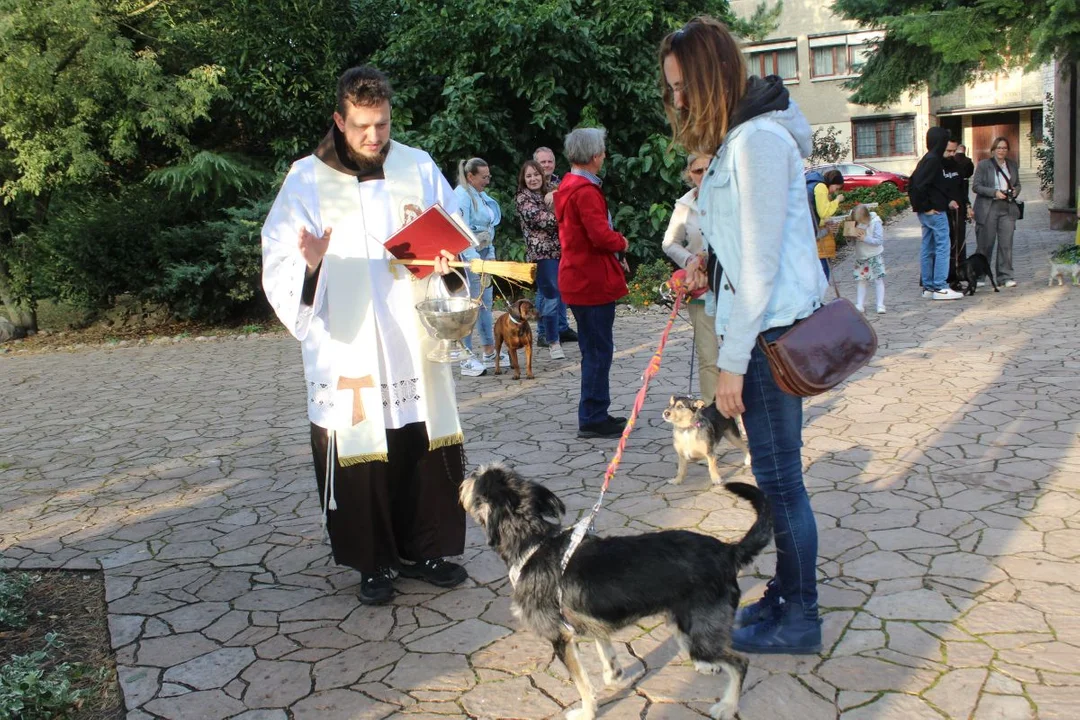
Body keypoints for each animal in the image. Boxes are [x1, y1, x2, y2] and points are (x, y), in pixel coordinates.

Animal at [460, 464, 773, 716]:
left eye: (477, 478)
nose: (467, 473)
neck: (533, 543)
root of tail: (727, 551)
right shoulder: (590, 618)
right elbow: (604, 647)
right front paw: (614, 674)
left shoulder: (560, 639)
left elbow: (583, 685)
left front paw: (587, 712)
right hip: (684, 619)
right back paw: (705, 667)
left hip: (702, 633)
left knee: (740, 662)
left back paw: (727, 705)